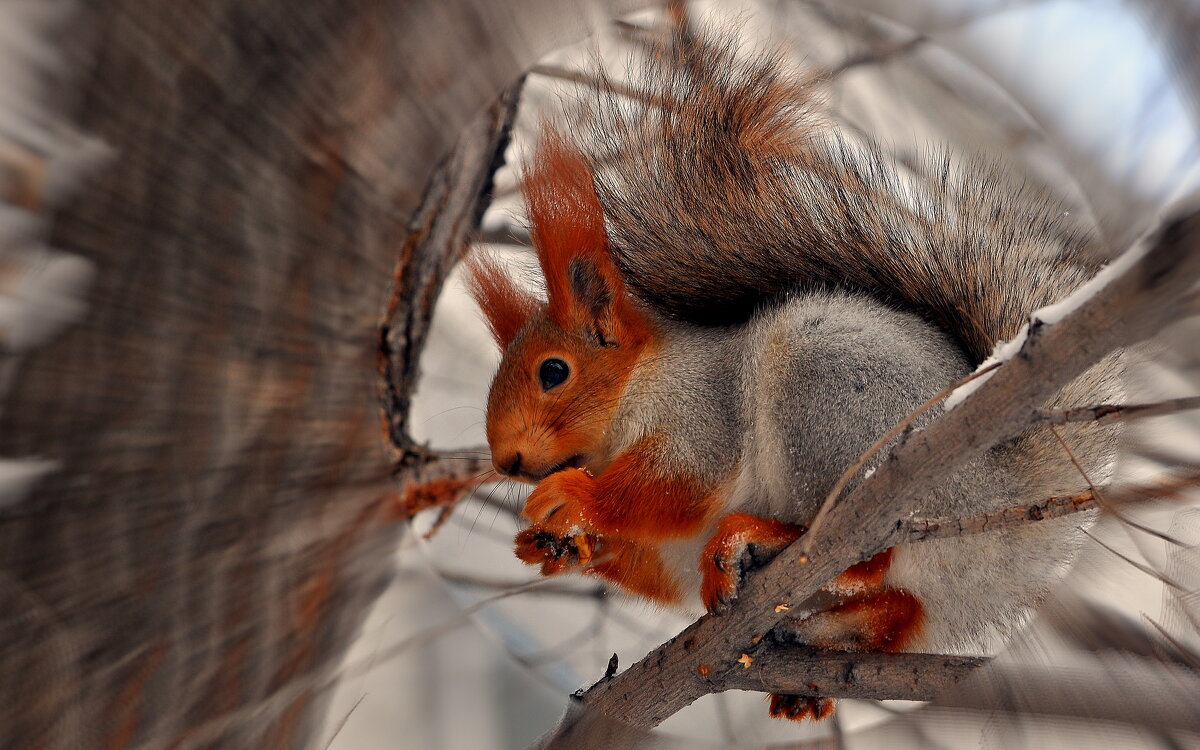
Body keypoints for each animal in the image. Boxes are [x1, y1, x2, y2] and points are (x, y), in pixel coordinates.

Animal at [463, 20, 1118, 720]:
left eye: (553, 372)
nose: (505, 461)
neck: (632, 395)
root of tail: (1004, 503)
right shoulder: (668, 552)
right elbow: (651, 561)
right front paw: (554, 547)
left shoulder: (703, 413)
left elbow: (675, 486)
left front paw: (576, 499)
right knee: (899, 611)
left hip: (826, 404)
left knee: (867, 548)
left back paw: (763, 540)